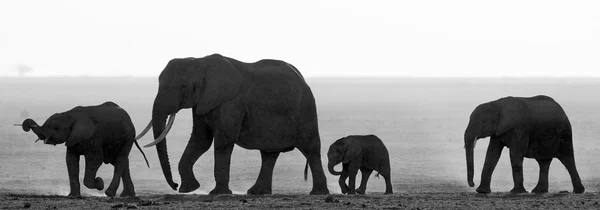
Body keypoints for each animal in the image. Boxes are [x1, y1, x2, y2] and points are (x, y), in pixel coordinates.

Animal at [17, 101, 149, 197]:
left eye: (55, 128)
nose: (27, 126)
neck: (69, 114)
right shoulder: (72, 138)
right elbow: (71, 161)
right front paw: (73, 197)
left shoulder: (93, 137)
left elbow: (95, 159)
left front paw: (99, 183)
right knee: (122, 162)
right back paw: (127, 195)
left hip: (127, 137)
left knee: (120, 160)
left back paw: (109, 193)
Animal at [134, 53, 330, 195]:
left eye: (183, 86)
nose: (174, 185)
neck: (200, 61)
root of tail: (302, 78)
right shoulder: (203, 102)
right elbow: (200, 140)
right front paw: (188, 189)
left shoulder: (230, 102)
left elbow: (223, 142)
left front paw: (217, 194)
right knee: (269, 154)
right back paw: (257, 193)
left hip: (305, 110)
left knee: (311, 149)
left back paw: (318, 193)